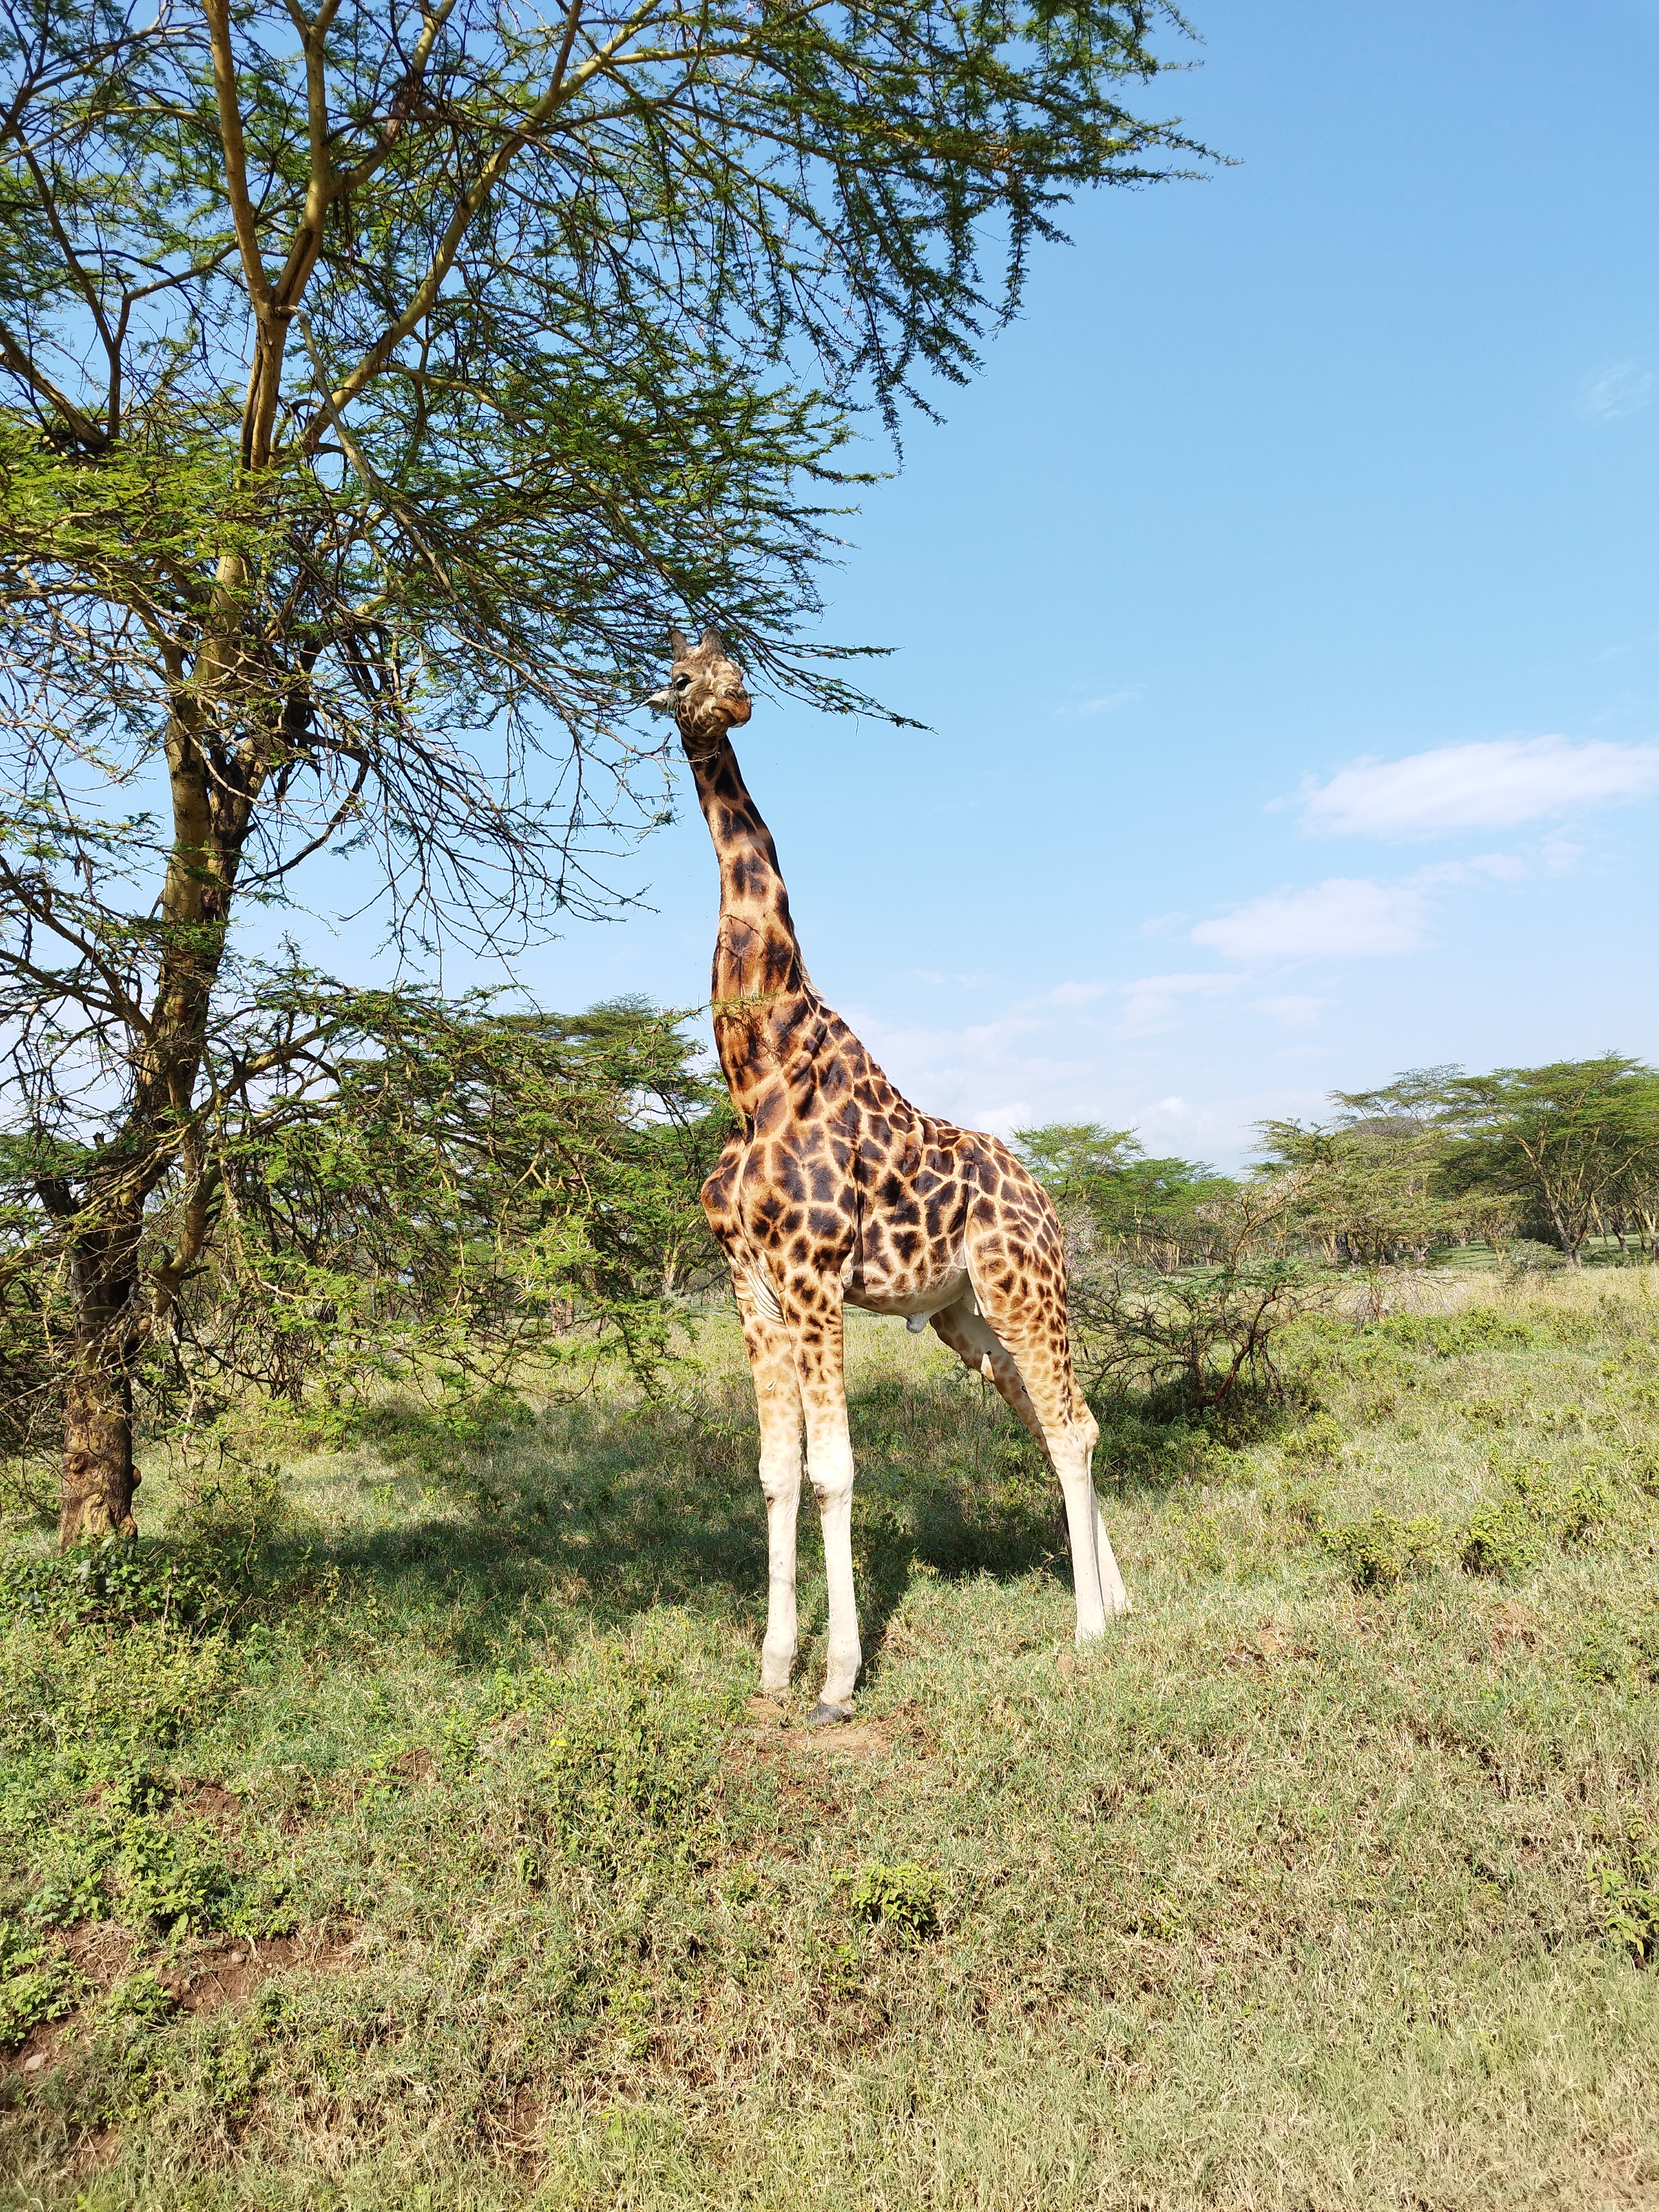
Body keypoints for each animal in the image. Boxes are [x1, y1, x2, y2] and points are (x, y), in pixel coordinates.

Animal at [650, 626, 1130, 1723]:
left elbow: (834, 1472)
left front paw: (837, 1680)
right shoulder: (751, 1287)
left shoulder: (815, 1277)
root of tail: (1047, 1199)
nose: (726, 704)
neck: (755, 1065)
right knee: (1055, 1420)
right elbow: (776, 1474)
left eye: (732, 662)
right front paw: (773, 1667)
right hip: (967, 1316)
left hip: (1026, 1289)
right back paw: (1121, 1602)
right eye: (679, 672)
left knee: (1074, 1427)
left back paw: (1088, 1629)